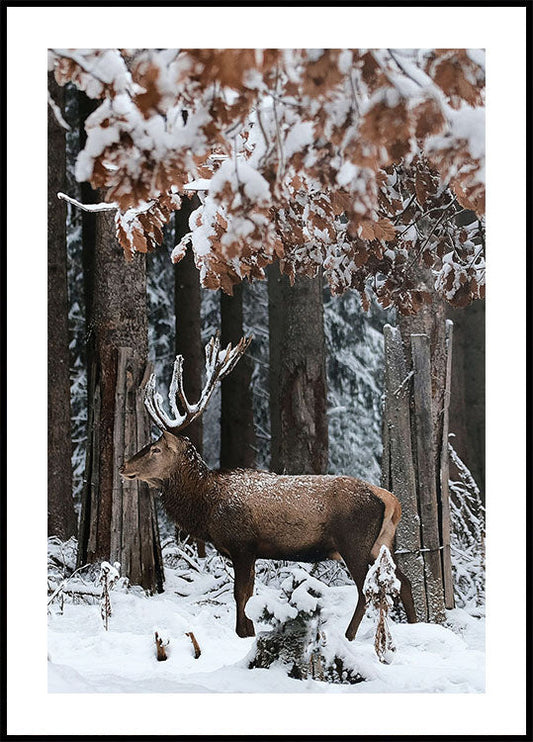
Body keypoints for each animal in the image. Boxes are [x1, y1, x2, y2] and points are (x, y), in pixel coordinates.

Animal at [119, 334, 416, 644]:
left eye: (155, 448)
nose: (124, 465)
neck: (206, 506)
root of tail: (390, 500)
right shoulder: (251, 550)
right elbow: (248, 594)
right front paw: (249, 631)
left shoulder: (242, 544)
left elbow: (240, 596)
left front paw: (243, 634)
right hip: (381, 543)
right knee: (404, 583)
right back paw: (416, 625)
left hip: (353, 541)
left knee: (366, 590)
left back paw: (348, 635)